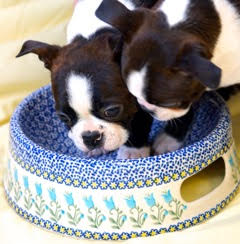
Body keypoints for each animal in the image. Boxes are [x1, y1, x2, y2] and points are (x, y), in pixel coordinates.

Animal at [16, 0, 152, 159]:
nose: (91, 137)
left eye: (112, 111)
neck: (92, 32)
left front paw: (134, 151)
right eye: (63, 117)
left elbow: (141, 120)